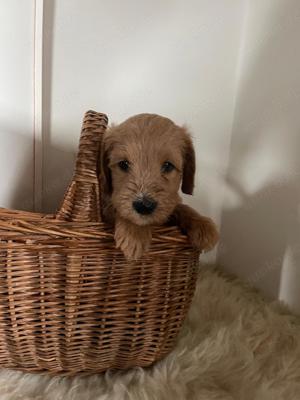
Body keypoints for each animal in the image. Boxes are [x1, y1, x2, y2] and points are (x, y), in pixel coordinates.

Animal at [101, 114, 218, 260]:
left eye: (168, 165)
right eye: (123, 164)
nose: (144, 206)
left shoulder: (170, 202)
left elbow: (180, 207)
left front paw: (202, 224)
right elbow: (118, 209)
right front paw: (135, 232)